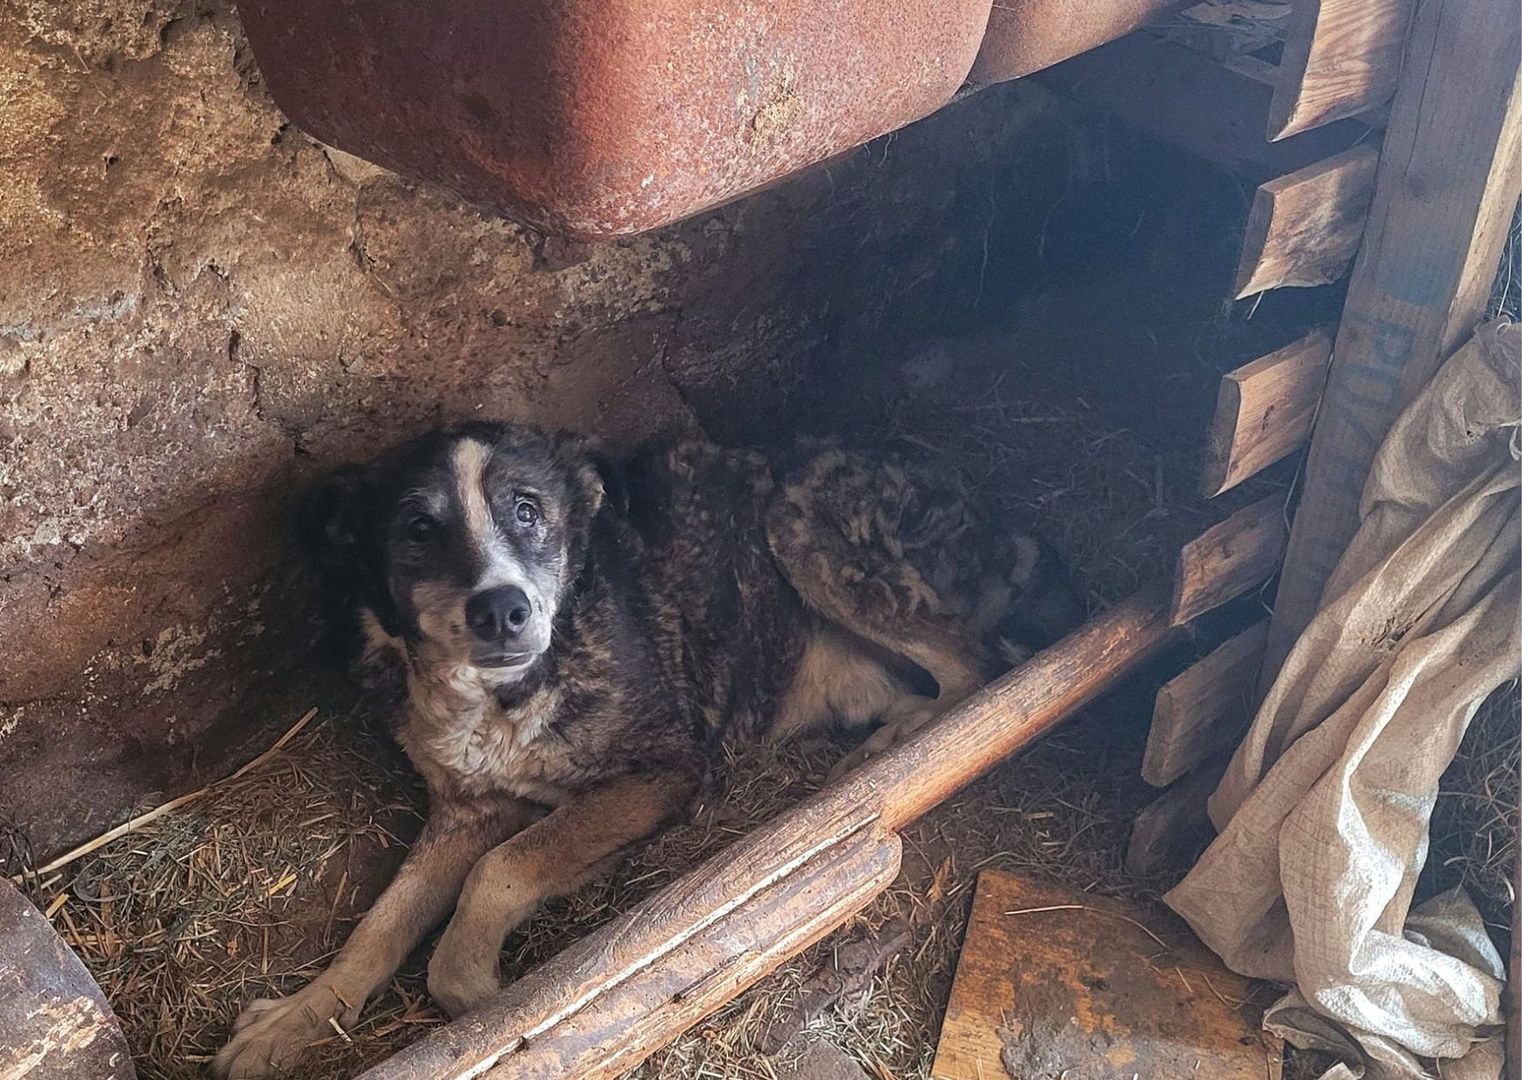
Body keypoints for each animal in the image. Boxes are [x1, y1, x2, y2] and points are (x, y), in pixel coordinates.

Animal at [211, 425, 1083, 1080]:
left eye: (528, 511)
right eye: (418, 529)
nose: (502, 610)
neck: (506, 691)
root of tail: (1001, 522)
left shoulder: (668, 770)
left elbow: (502, 871)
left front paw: (480, 991)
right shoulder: (467, 808)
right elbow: (381, 925)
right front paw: (297, 1019)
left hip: (799, 518)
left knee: (978, 662)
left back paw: (903, 740)